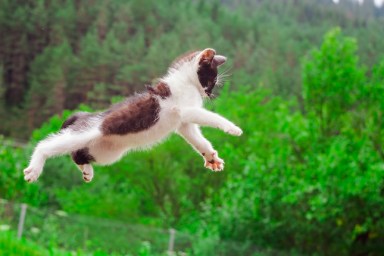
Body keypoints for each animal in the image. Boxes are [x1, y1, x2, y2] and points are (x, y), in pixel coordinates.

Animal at [23, 48, 243, 183]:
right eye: (211, 79)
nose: (209, 93)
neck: (185, 81)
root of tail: (83, 115)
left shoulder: (183, 124)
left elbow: (198, 139)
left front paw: (211, 157)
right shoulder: (184, 109)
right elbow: (211, 116)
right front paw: (233, 128)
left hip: (106, 152)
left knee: (77, 153)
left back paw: (87, 171)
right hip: (89, 132)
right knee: (47, 144)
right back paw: (34, 169)